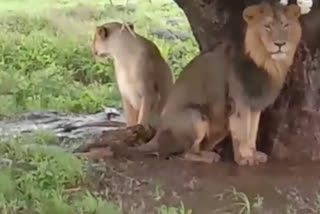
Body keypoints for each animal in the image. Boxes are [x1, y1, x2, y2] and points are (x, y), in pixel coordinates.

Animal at [110, 1, 302, 166]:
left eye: (286, 25)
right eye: (267, 26)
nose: (280, 44)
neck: (267, 63)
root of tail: (156, 136)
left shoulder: (255, 105)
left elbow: (252, 133)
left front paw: (254, 154)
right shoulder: (239, 102)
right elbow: (242, 133)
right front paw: (245, 158)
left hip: (220, 126)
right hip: (195, 116)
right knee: (183, 154)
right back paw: (207, 157)